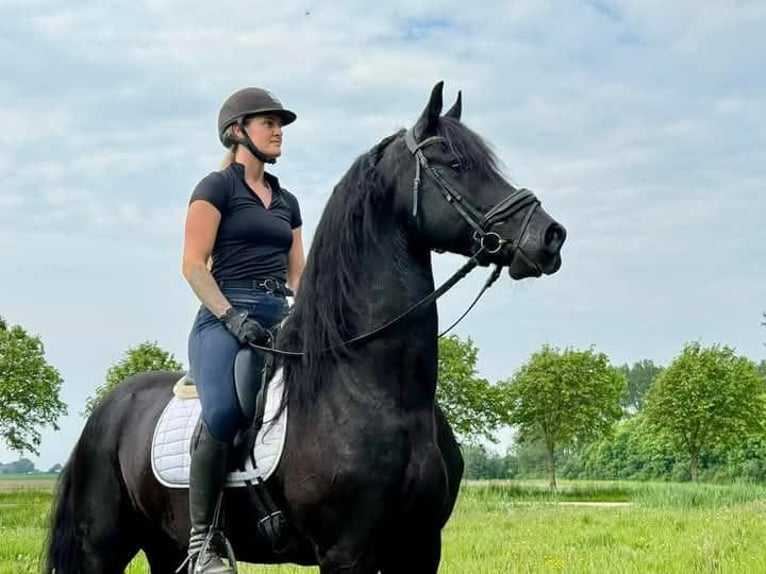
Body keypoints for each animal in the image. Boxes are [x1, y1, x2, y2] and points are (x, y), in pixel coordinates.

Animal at [45, 82, 568, 574]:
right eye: (457, 164)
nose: (550, 236)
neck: (375, 388)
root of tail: (108, 407)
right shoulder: (347, 553)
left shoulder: (420, 547)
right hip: (102, 548)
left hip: (161, 545)